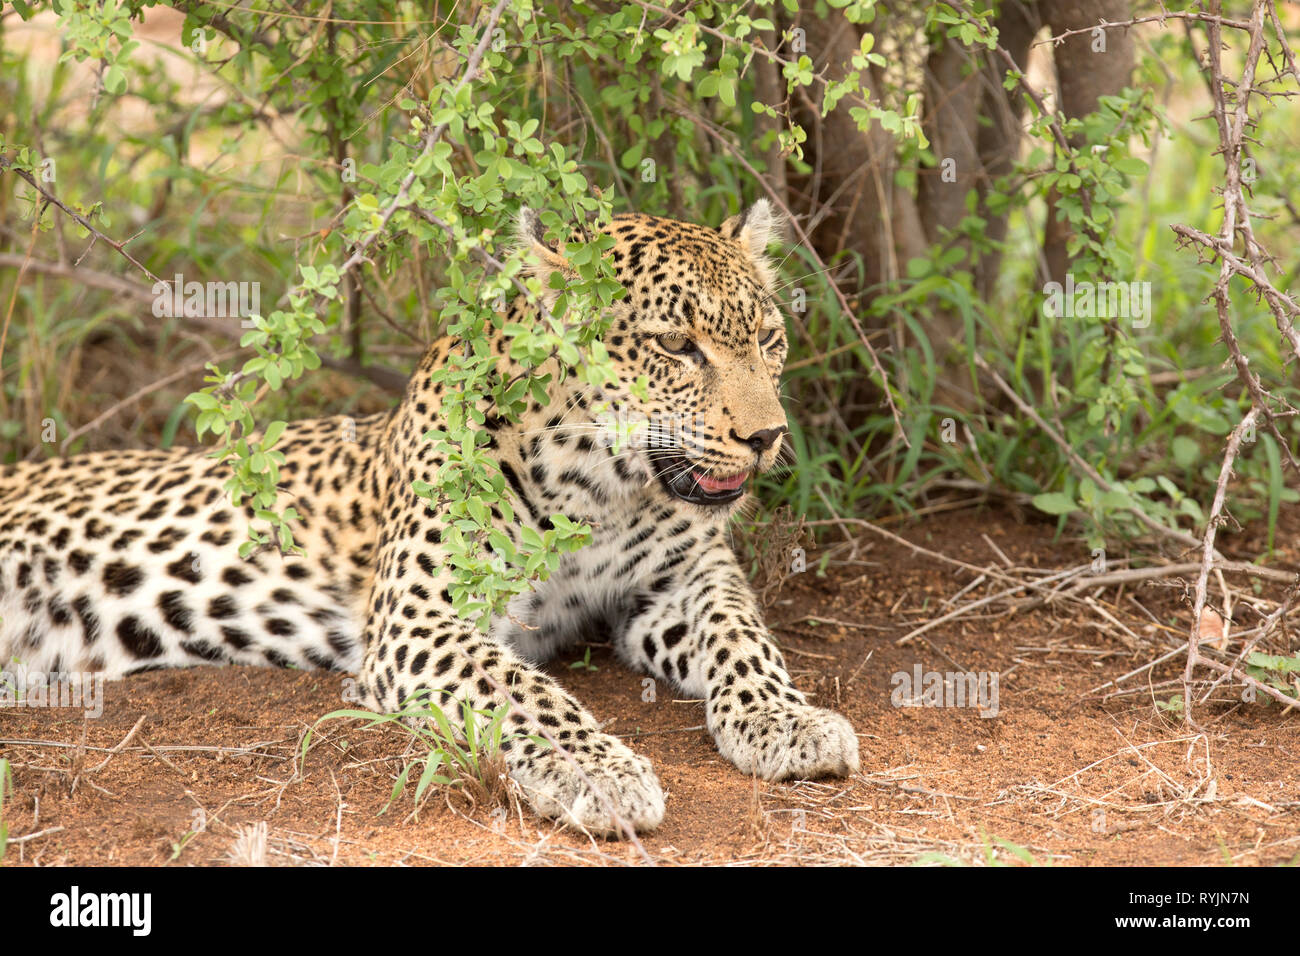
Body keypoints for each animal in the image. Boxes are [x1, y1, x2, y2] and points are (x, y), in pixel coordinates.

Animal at [5, 197, 868, 832]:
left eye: (769, 338)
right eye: (676, 345)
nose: (767, 437)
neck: (602, 491)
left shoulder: (682, 579)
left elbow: (743, 637)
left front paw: (789, 721)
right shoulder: (423, 614)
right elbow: (519, 687)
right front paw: (597, 769)